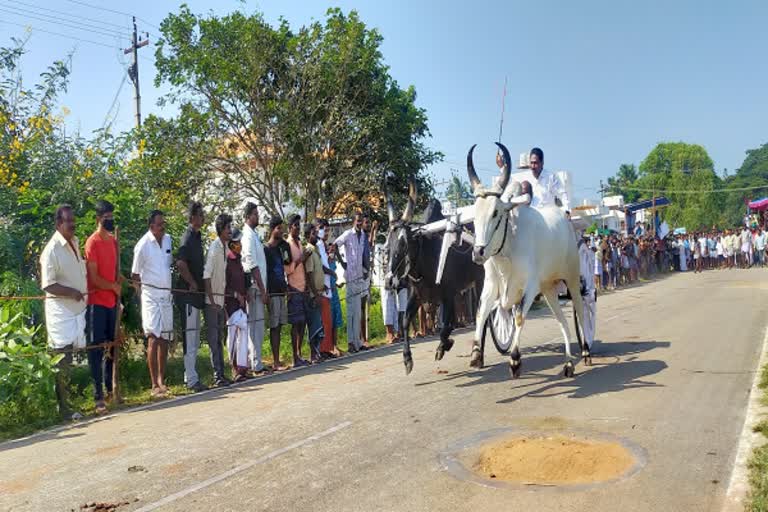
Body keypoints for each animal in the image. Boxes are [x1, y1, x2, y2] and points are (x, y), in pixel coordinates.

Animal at [388, 198, 484, 374]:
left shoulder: (449, 295)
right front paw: (407, 359)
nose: (390, 281)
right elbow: (405, 321)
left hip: (481, 280)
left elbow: (446, 325)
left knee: (482, 315)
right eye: (387, 242)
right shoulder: (417, 296)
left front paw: (444, 346)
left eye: (404, 243)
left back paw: (477, 357)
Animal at [462, 142, 588, 378]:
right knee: (561, 320)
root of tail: (565, 220)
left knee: (581, 310)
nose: (478, 252)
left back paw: (585, 351)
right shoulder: (491, 284)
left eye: (496, 212)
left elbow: (519, 316)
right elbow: (481, 313)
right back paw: (568, 363)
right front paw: (475, 354)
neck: (507, 248)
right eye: (474, 214)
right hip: (549, 288)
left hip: (573, 278)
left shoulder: (529, 286)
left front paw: (515, 359)